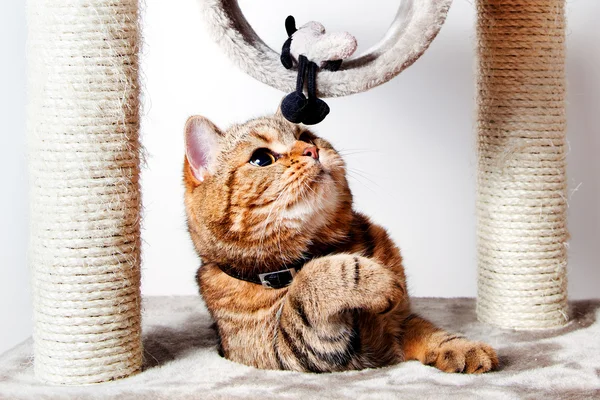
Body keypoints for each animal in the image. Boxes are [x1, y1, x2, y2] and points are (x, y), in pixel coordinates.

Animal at [182, 114, 496, 374]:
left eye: (307, 137)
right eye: (261, 159)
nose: (312, 150)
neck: (323, 246)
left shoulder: (399, 321)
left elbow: (430, 331)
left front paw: (461, 347)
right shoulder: (287, 350)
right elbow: (309, 281)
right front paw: (374, 278)